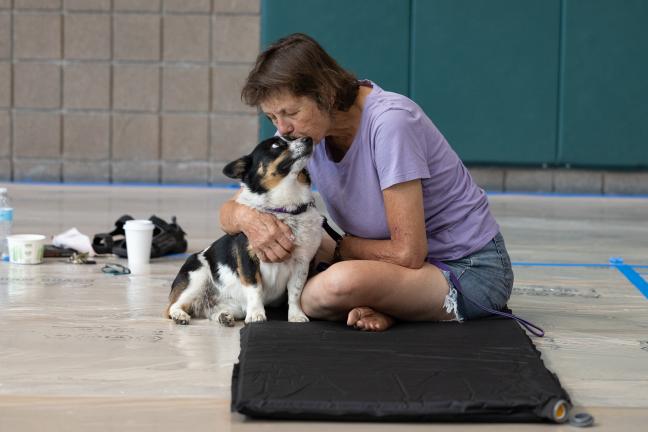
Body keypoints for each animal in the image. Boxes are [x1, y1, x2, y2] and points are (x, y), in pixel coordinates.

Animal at [165, 137, 322, 326]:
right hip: (196, 277)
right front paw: (256, 314)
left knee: (212, 311)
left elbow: (295, 293)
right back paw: (179, 315)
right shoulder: (248, 259)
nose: (308, 139)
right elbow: (255, 288)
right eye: (276, 145)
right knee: (171, 307)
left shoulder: (301, 263)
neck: (285, 208)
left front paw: (296, 315)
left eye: (292, 137)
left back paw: (223, 316)